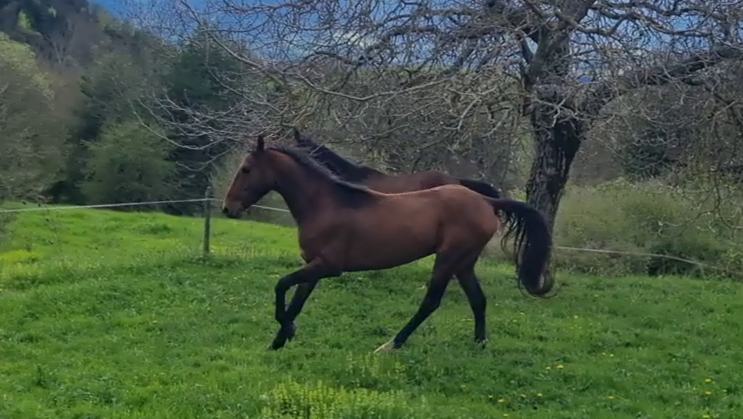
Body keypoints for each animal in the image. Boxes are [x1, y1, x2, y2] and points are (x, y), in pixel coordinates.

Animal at [221, 135, 554, 353]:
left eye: (246, 169)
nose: (228, 208)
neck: (325, 204)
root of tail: (487, 201)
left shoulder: (328, 266)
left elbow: (281, 285)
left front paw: (287, 332)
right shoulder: (312, 265)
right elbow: (295, 300)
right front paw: (280, 340)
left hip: (448, 258)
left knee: (431, 302)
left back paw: (391, 345)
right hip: (463, 263)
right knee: (478, 300)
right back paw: (479, 345)